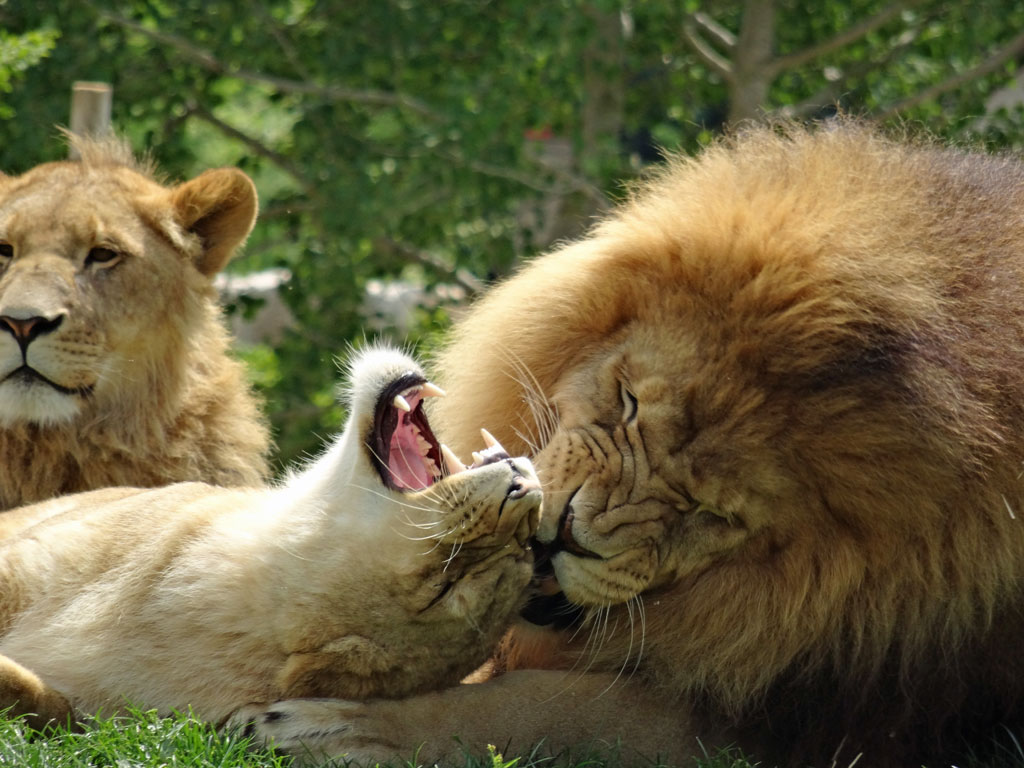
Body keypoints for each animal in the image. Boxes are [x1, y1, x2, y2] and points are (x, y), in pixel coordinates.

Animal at [234, 121, 1024, 768]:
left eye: (712, 513)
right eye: (629, 402)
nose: (567, 534)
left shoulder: (804, 726)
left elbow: (539, 706)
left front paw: (347, 726)